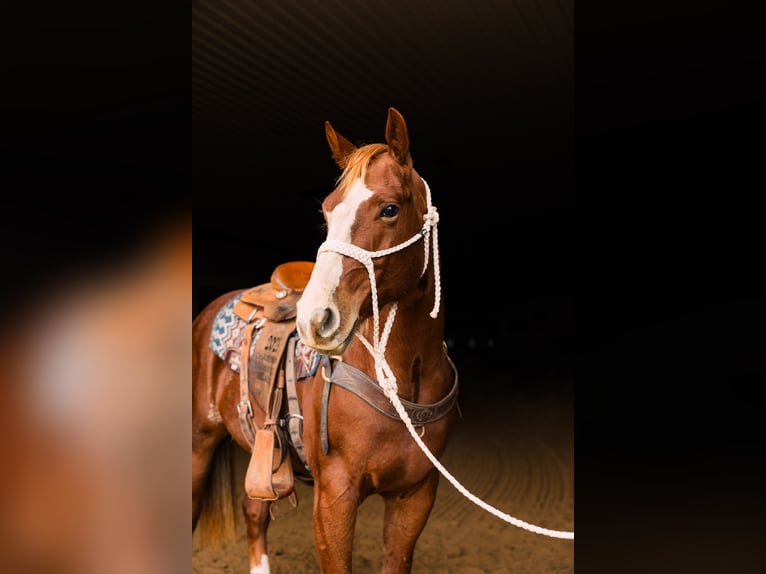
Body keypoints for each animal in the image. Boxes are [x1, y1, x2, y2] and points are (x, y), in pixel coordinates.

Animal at [194, 109, 462, 574]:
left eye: (389, 209)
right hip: (198, 444)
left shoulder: (414, 498)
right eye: (327, 211)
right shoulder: (335, 497)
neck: (401, 379)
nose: (315, 319)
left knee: (254, 513)